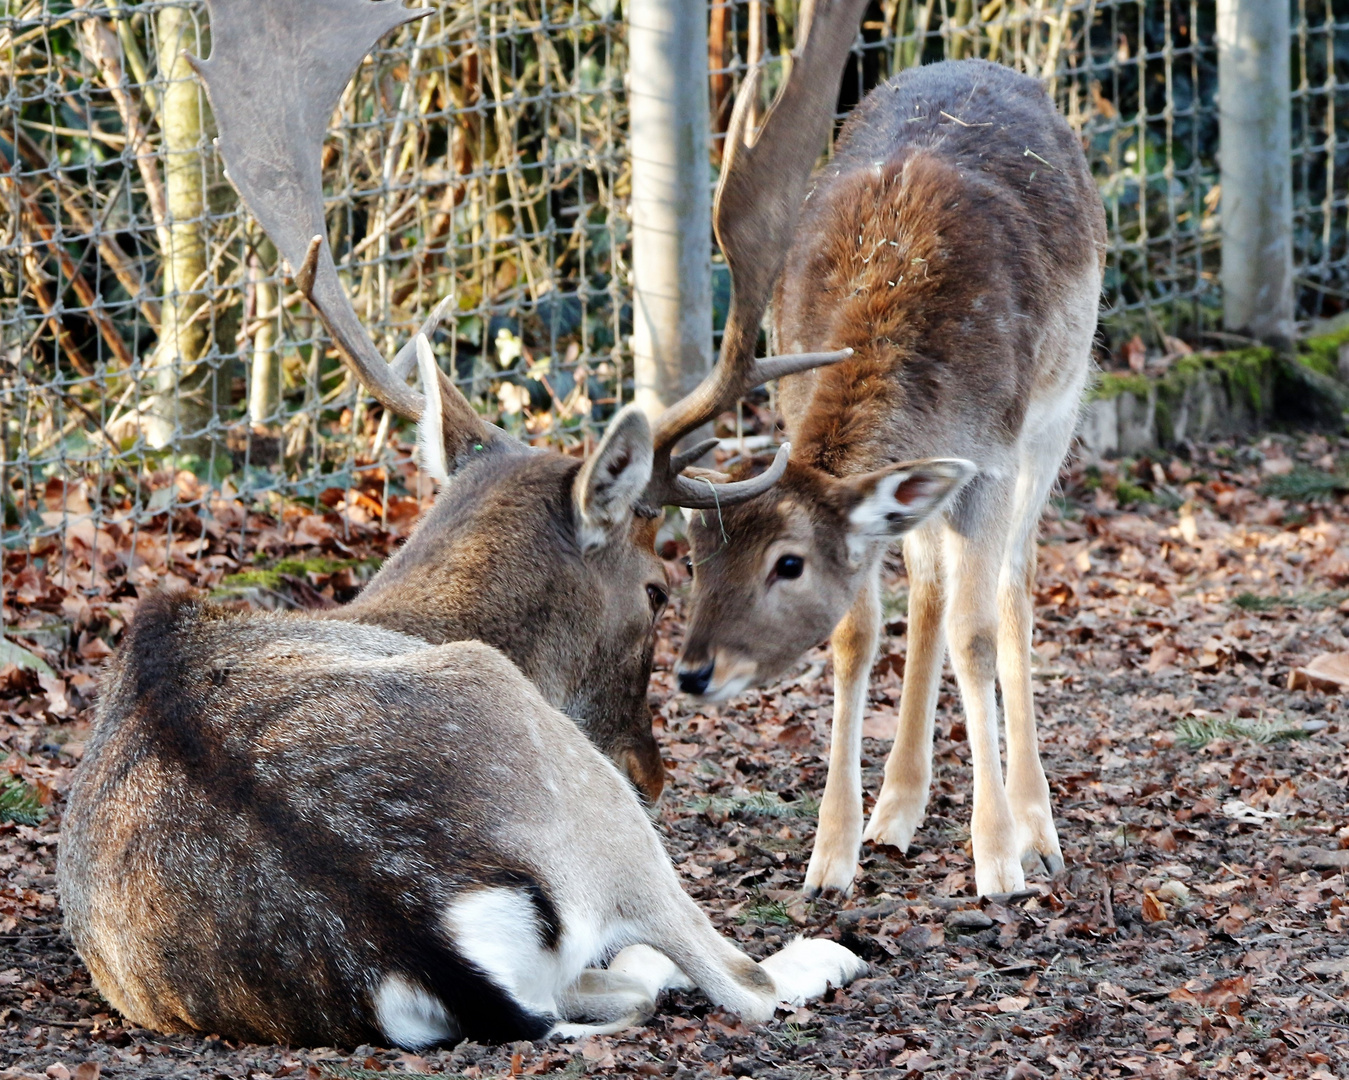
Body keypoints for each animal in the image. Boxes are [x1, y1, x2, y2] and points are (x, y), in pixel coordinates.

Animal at [58, 0, 868, 1051]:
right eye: (658, 588)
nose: (651, 773)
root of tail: (421, 927)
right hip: (571, 781)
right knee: (732, 979)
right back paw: (821, 950)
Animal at [674, 63, 1106, 895]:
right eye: (697, 559)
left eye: (787, 564)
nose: (691, 672)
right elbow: (859, 632)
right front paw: (829, 856)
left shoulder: (993, 459)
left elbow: (976, 634)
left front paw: (997, 859)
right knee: (931, 590)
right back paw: (897, 807)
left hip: (1059, 410)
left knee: (1014, 588)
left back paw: (1037, 828)